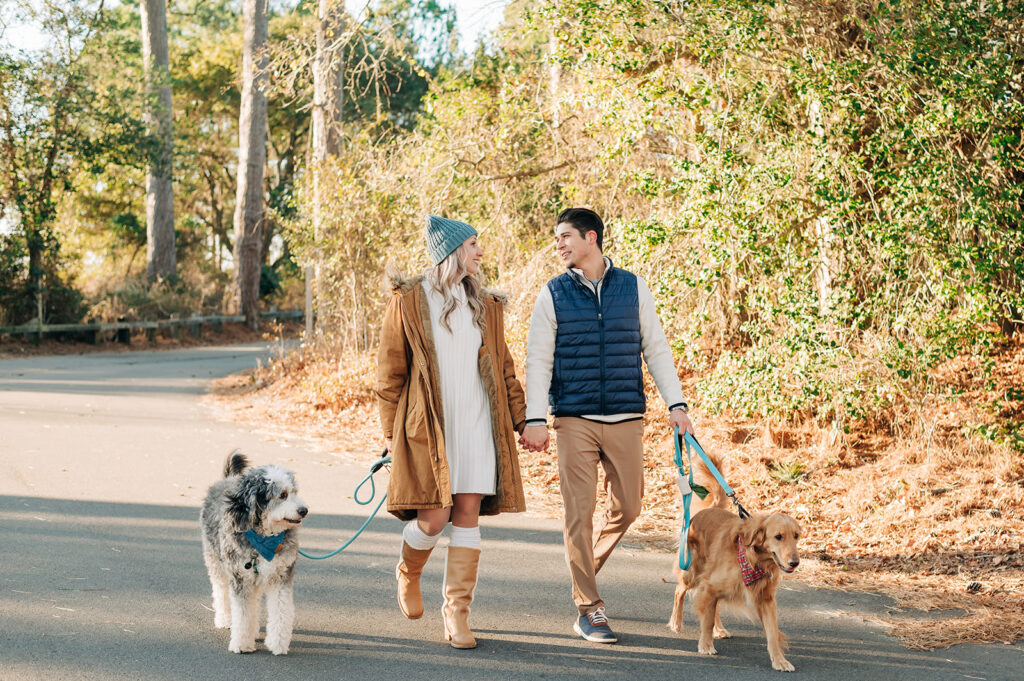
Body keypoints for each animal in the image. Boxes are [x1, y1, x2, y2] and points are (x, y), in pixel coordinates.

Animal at [199, 450, 307, 655]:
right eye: (282, 494)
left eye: (295, 492)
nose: (304, 510)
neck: (264, 537)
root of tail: (228, 478)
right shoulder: (240, 577)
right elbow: (242, 613)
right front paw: (241, 644)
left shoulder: (281, 575)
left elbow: (281, 611)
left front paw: (278, 644)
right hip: (216, 562)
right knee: (220, 592)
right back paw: (225, 620)